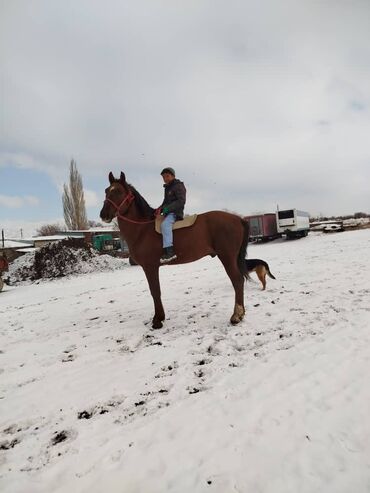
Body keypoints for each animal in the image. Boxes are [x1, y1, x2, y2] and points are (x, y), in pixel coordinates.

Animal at [99, 171, 249, 328]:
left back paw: (236, 316)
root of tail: (238, 219)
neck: (142, 228)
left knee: (237, 280)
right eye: (106, 191)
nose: (103, 215)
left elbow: (155, 291)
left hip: (227, 257)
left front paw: (158, 320)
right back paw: (241, 314)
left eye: (118, 191)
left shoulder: (150, 267)